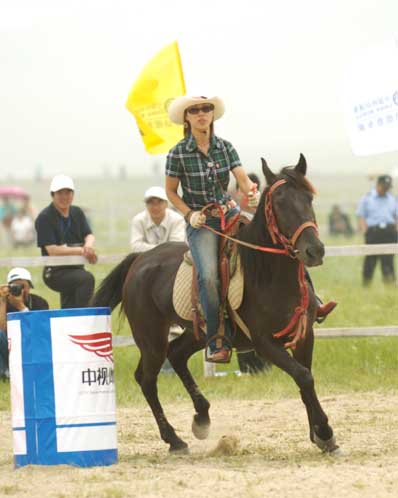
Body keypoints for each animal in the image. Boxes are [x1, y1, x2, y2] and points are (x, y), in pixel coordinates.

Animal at [92, 155, 338, 456]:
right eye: (279, 202)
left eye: (308, 198)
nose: (314, 250)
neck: (267, 274)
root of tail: (139, 260)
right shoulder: (265, 343)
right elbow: (303, 376)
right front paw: (324, 432)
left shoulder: (304, 335)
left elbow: (306, 379)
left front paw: (319, 435)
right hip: (150, 338)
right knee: (146, 378)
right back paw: (174, 440)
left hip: (201, 334)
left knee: (176, 355)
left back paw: (202, 418)